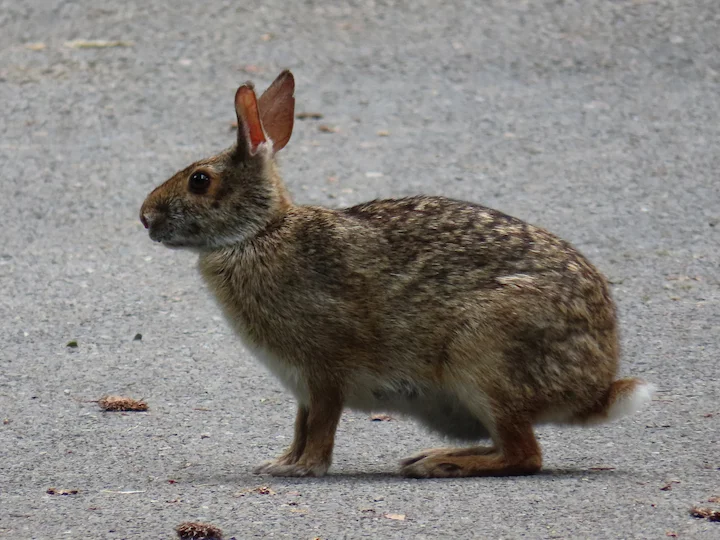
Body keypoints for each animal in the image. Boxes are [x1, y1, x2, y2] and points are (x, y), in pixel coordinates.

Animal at [140, 70, 654, 478]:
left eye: (200, 181)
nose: (144, 217)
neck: (258, 233)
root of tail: (596, 387)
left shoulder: (324, 369)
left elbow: (320, 424)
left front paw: (301, 469)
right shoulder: (301, 383)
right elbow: (300, 424)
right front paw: (281, 462)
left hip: (486, 359)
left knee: (525, 455)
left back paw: (438, 464)